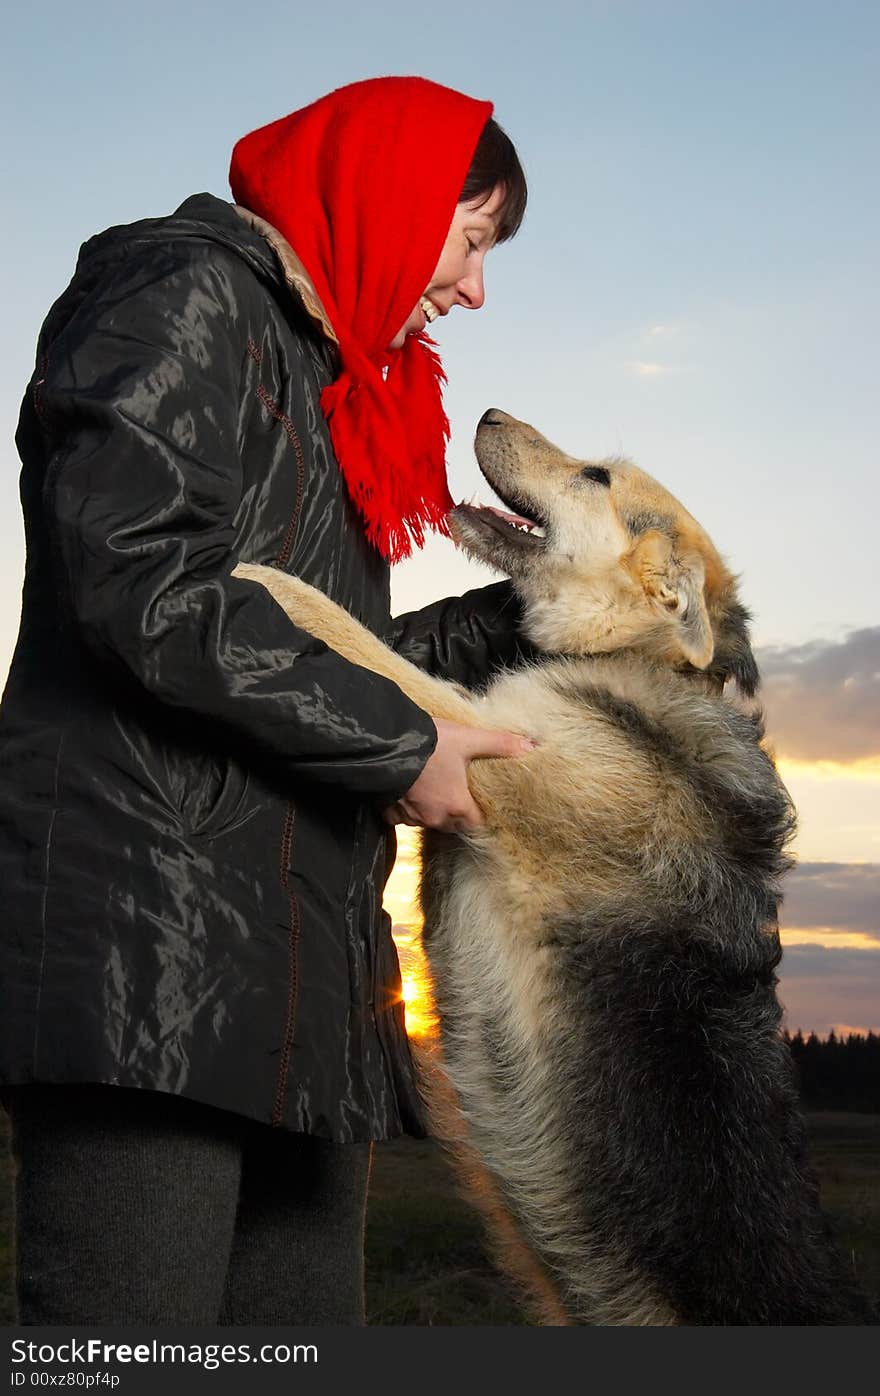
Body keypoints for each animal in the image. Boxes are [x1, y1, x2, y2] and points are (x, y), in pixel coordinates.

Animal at [233, 407, 877, 1323]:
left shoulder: (482, 739)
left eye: (597, 477)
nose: (488, 412)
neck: (634, 657)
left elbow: (356, 641)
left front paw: (262, 579)